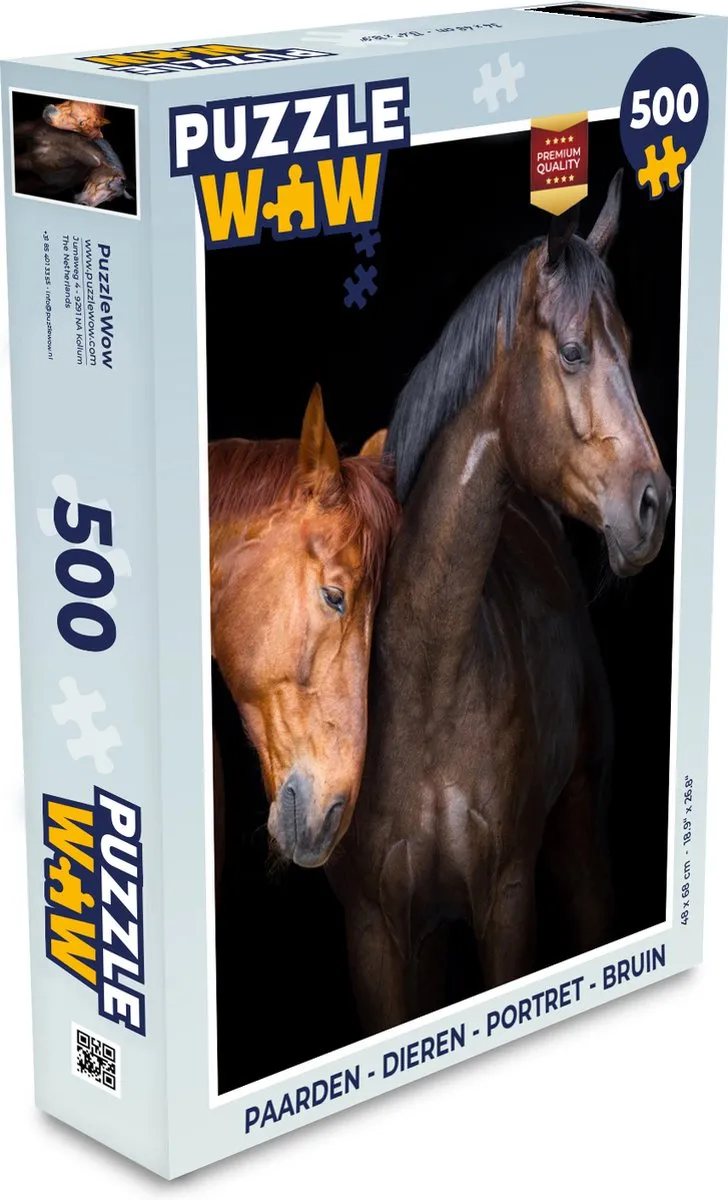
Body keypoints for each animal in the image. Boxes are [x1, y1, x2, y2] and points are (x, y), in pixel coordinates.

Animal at [326, 171, 673, 1033]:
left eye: (629, 348)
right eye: (576, 352)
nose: (652, 506)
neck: (426, 677)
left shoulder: (507, 898)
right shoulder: (377, 931)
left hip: (579, 840)